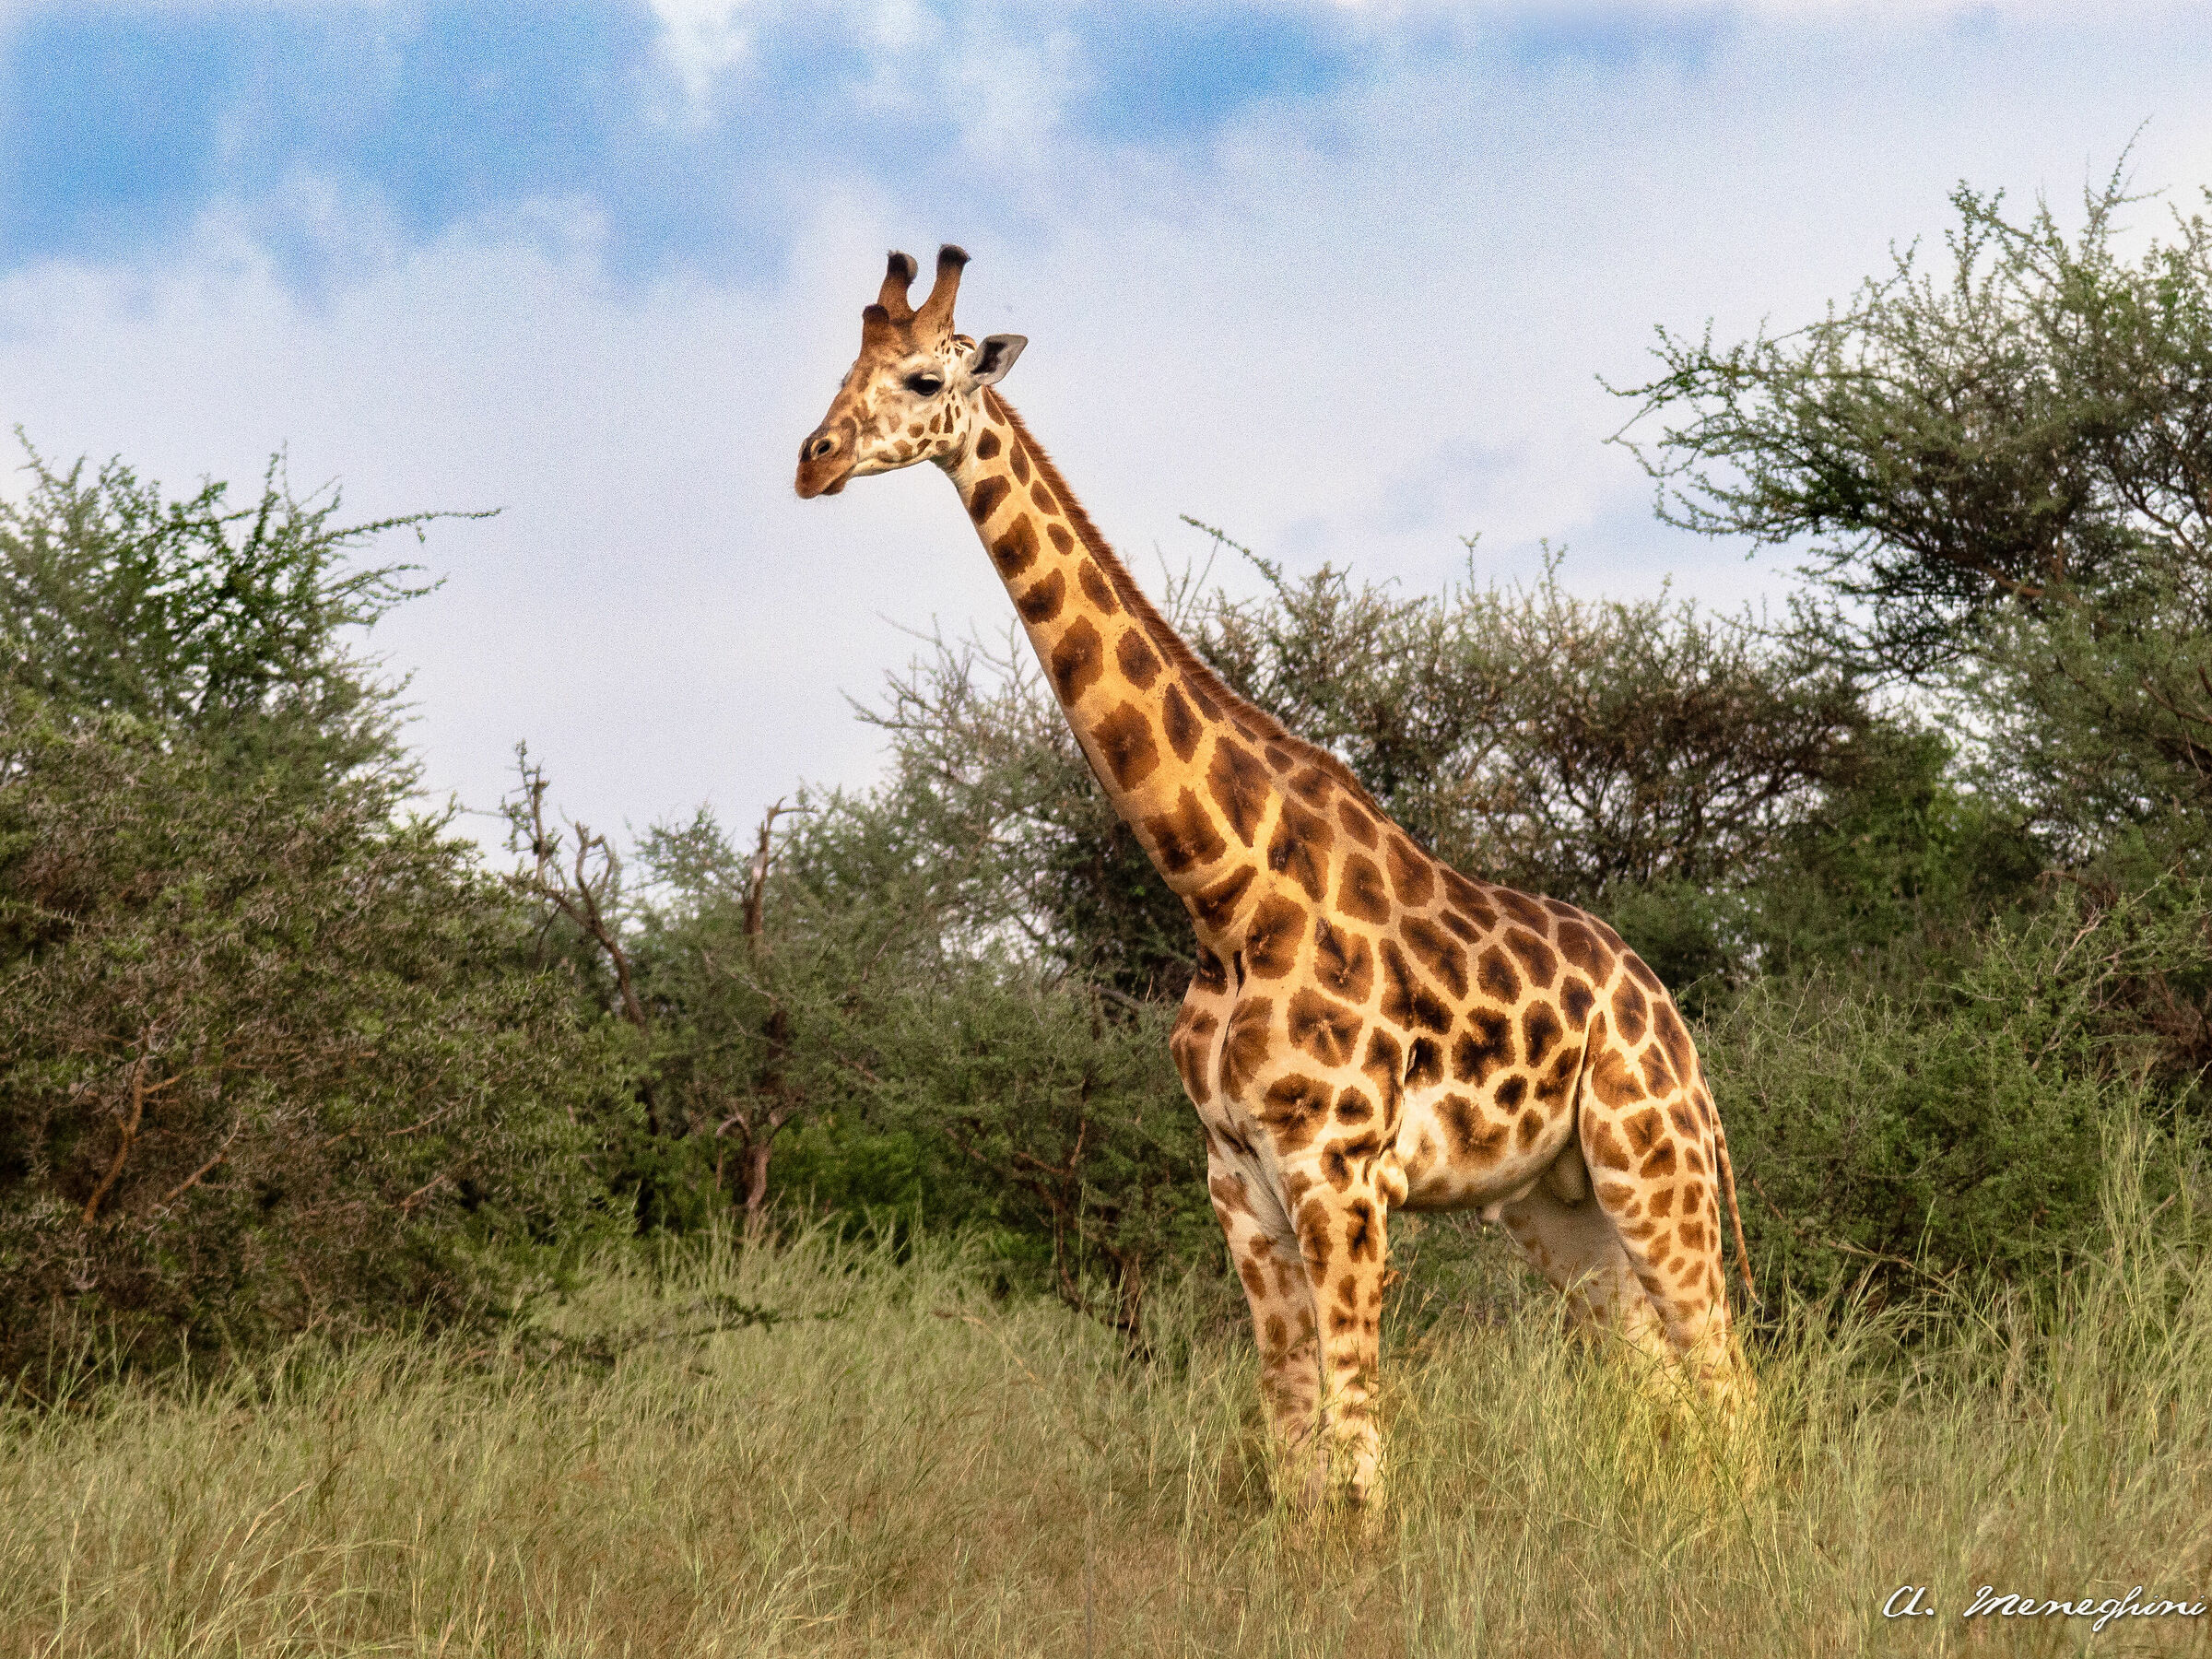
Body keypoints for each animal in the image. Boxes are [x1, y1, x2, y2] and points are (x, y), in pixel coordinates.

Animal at [794, 245, 1757, 1504]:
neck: (1222, 897)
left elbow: (1357, 1457)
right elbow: (1296, 1450)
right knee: (1662, 1384)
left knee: (1730, 1383)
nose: (812, 460)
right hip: (1555, 1201)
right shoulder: (1237, 1182)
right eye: (837, 369)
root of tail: (1666, 1013)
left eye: (918, 378)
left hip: (1654, 1166)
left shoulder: (1339, 1176)